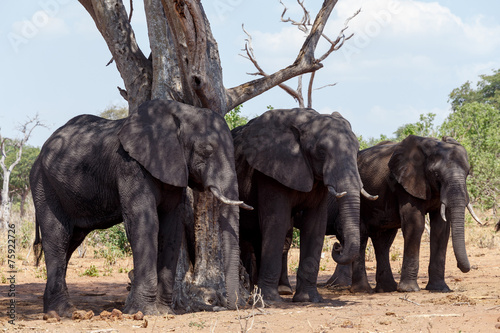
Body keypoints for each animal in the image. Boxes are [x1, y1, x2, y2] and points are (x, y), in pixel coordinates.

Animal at [29, 97, 250, 316]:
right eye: (207, 150)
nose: (229, 305)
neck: (179, 112)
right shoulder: (131, 166)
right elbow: (145, 224)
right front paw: (142, 311)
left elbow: (172, 229)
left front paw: (164, 312)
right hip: (44, 185)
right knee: (58, 237)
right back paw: (64, 313)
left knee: (72, 240)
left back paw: (55, 310)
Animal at [232, 107, 374, 302]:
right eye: (321, 152)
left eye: (357, 150)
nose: (337, 247)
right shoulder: (271, 170)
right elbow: (277, 222)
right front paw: (270, 300)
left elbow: (315, 224)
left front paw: (308, 299)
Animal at [332, 134, 480, 290]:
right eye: (436, 174)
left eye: (468, 173)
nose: (463, 267)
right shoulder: (405, 184)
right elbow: (415, 224)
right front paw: (409, 289)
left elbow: (441, 228)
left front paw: (440, 289)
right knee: (362, 234)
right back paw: (363, 290)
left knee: (382, 240)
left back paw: (386, 289)